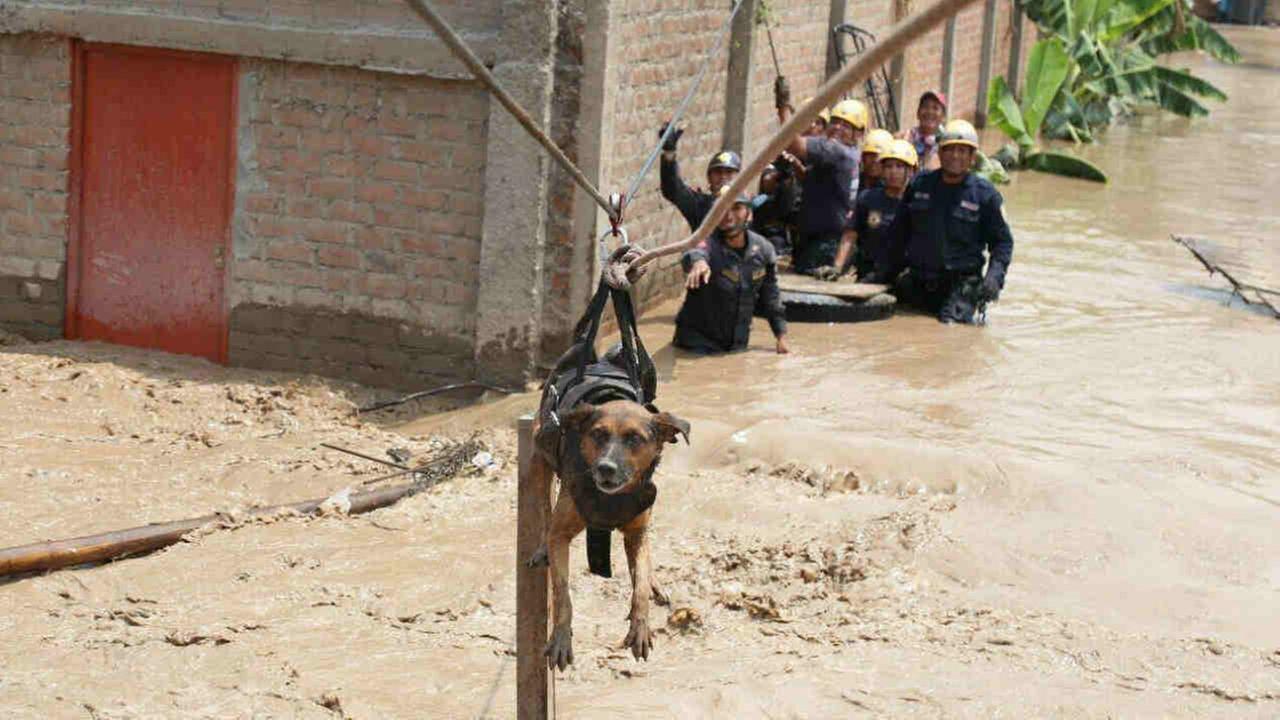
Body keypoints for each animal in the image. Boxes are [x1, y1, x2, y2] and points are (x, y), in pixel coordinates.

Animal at [529, 397, 691, 666]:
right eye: (598, 434)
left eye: (634, 438)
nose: (606, 468)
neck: (611, 499)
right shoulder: (561, 535)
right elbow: (563, 593)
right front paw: (561, 636)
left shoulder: (636, 533)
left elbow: (640, 586)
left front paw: (640, 627)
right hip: (540, 452)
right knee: (543, 508)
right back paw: (542, 547)